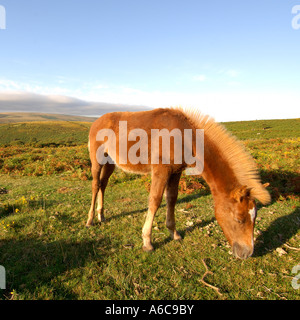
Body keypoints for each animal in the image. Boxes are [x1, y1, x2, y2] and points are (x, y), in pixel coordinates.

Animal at [85, 107, 270, 260]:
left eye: (255, 217)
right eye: (239, 219)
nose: (247, 253)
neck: (183, 137)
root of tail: (96, 122)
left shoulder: (175, 172)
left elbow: (172, 199)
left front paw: (174, 233)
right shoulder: (161, 170)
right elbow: (155, 200)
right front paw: (147, 242)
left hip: (110, 162)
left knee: (103, 184)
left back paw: (101, 215)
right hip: (97, 160)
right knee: (95, 185)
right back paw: (90, 220)